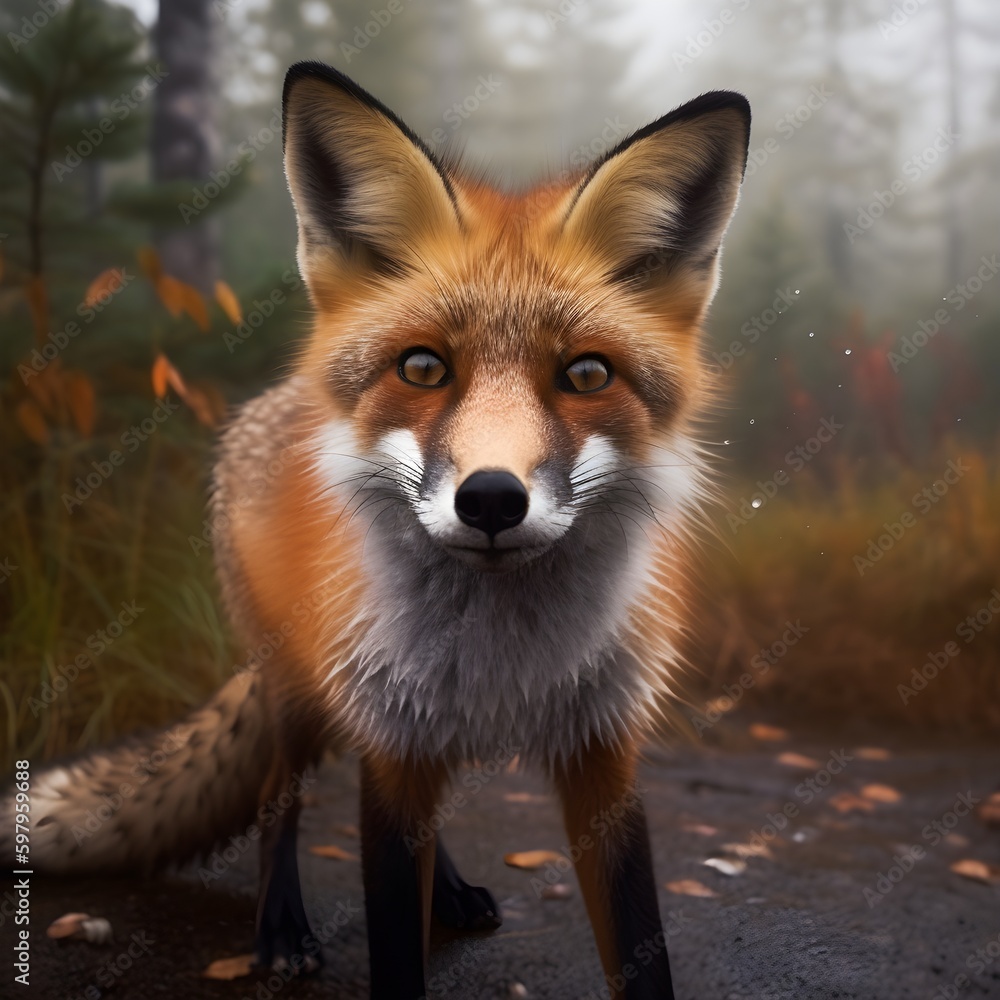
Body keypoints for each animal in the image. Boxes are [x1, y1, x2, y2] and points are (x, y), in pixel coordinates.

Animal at [2, 62, 750, 999]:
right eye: (423, 368)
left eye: (586, 375)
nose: (492, 500)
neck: (507, 660)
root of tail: (276, 400)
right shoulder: (395, 732)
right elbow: (393, 937)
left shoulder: (601, 753)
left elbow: (640, 944)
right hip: (299, 686)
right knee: (277, 797)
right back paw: (280, 928)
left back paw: (452, 892)